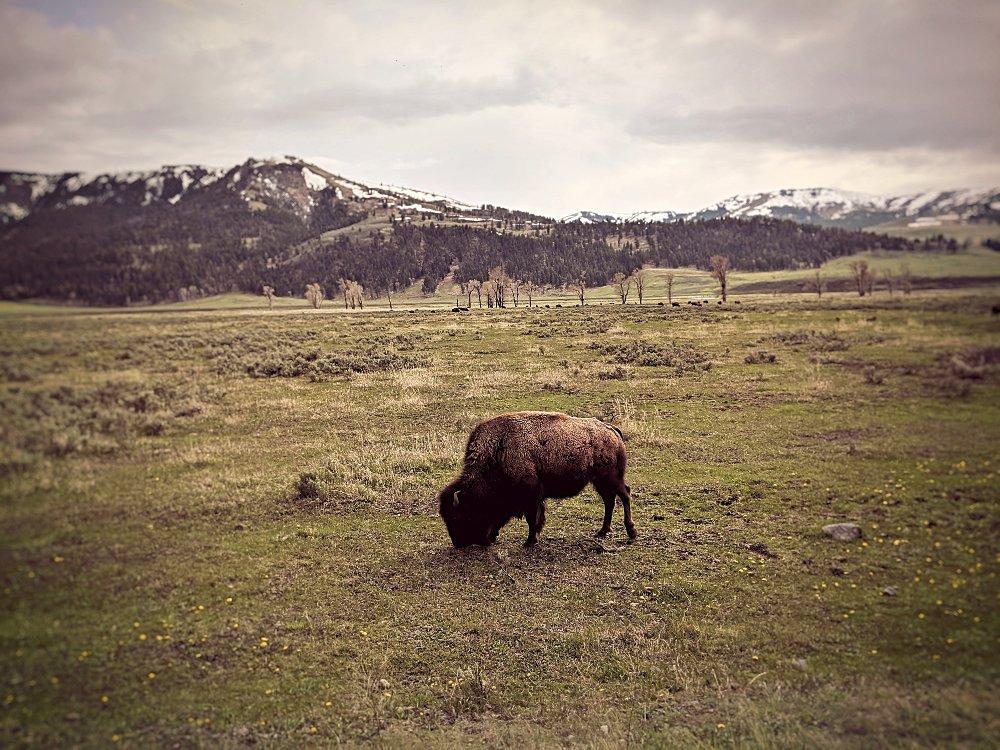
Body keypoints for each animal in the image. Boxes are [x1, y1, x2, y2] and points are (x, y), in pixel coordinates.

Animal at [436, 414, 632, 548]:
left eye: (459, 515)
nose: (458, 542)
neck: (498, 452)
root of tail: (611, 430)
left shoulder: (531, 494)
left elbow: (532, 518)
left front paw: (529, 541)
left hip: (610, 478)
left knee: (624, 495)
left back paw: (631, 532)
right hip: (600, 482)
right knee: (610, 501)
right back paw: (602, 532)